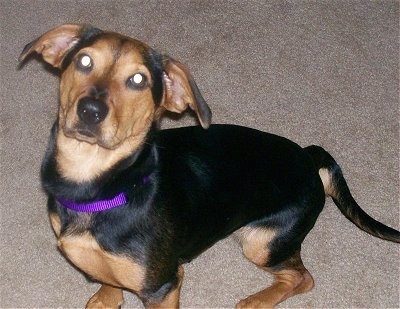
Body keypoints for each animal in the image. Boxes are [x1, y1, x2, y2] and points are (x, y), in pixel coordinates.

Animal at [18, 24, 400, 308]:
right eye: (83, 62)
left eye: (138, 80)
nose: (90, 111)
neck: (102, 187)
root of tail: (308, 156)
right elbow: (106, 277)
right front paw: (106, 298)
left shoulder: (163, 286)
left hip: (261, 242)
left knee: (302, 278)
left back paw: (256, 302)